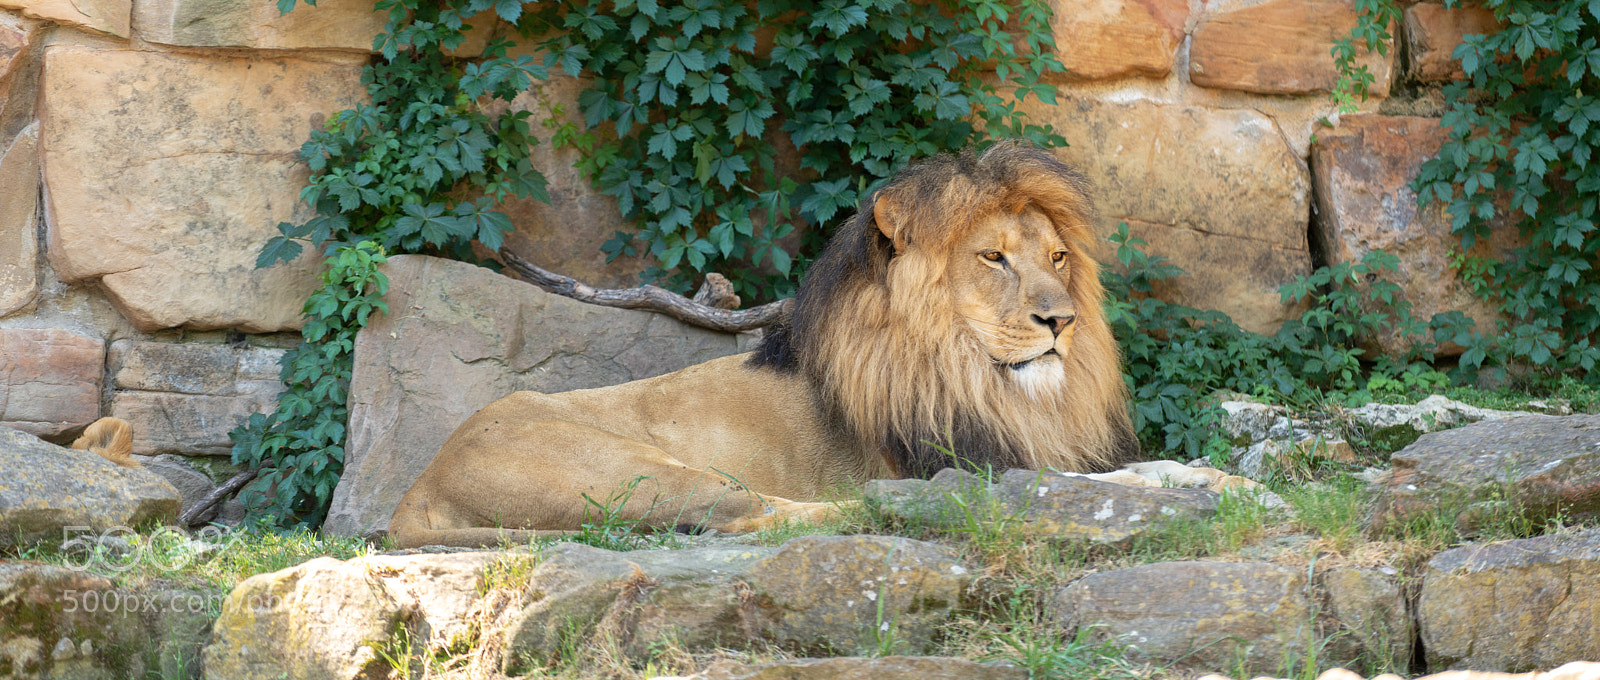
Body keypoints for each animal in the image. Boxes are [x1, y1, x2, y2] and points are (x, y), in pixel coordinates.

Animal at [388, 143, 1238, 549]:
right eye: (993, 258)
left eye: (1058, 259)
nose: (1061, 321)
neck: (985, 377)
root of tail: (418, 486)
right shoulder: (975, 459)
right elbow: (1099, 485)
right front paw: (1204, 487)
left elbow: (1136, 469)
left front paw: (1221, 478)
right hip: (640, 470)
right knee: (751, 513)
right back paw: (888, 506)